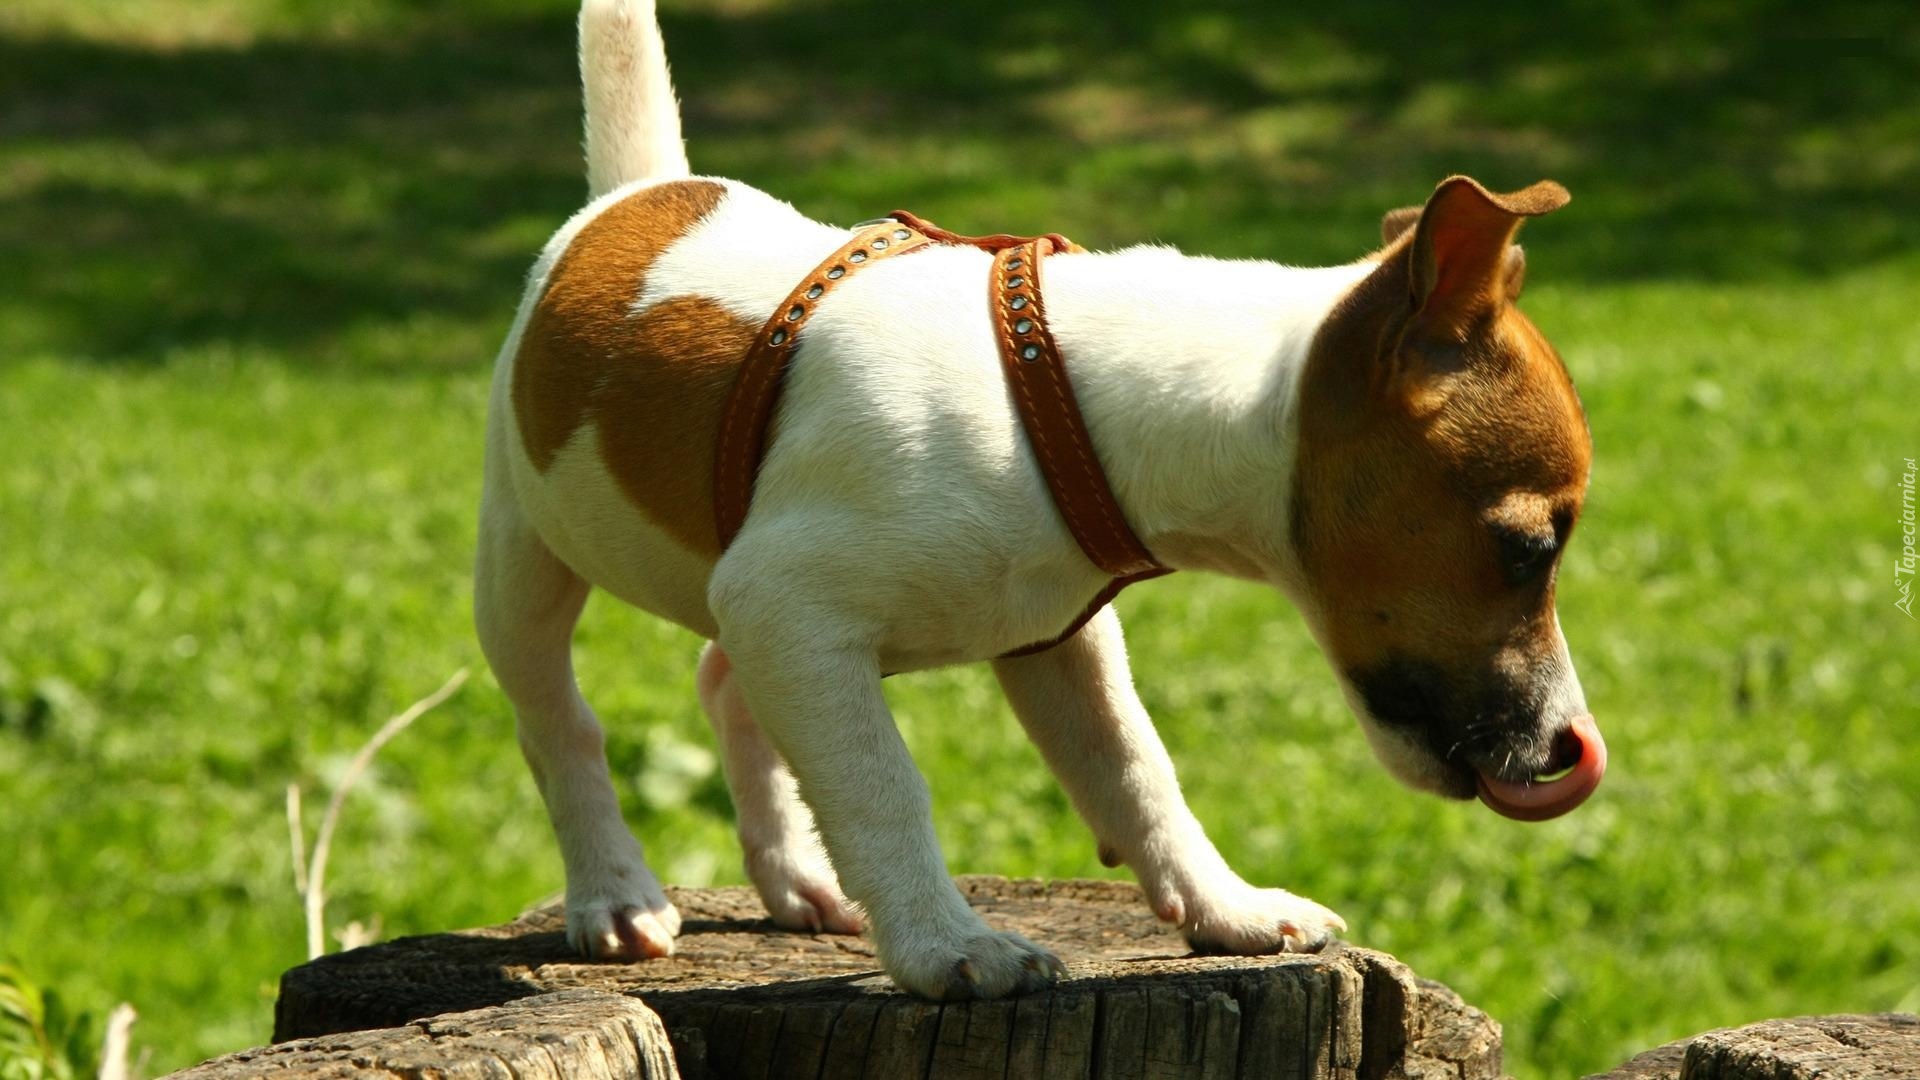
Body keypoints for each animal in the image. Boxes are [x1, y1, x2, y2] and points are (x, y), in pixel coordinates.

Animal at [476, 0, 1605, 999]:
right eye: (1529, 547)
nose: (1569, 745)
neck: (1056, 388)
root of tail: (644, 190)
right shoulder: (789, 607)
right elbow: (882, 785)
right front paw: (946, 947)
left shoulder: (1051, 642)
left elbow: (1137, 770)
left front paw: (1227, 908)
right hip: (526, 557)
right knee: (558, 721)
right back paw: (615, 892)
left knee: (723, 682)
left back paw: (797, 877)